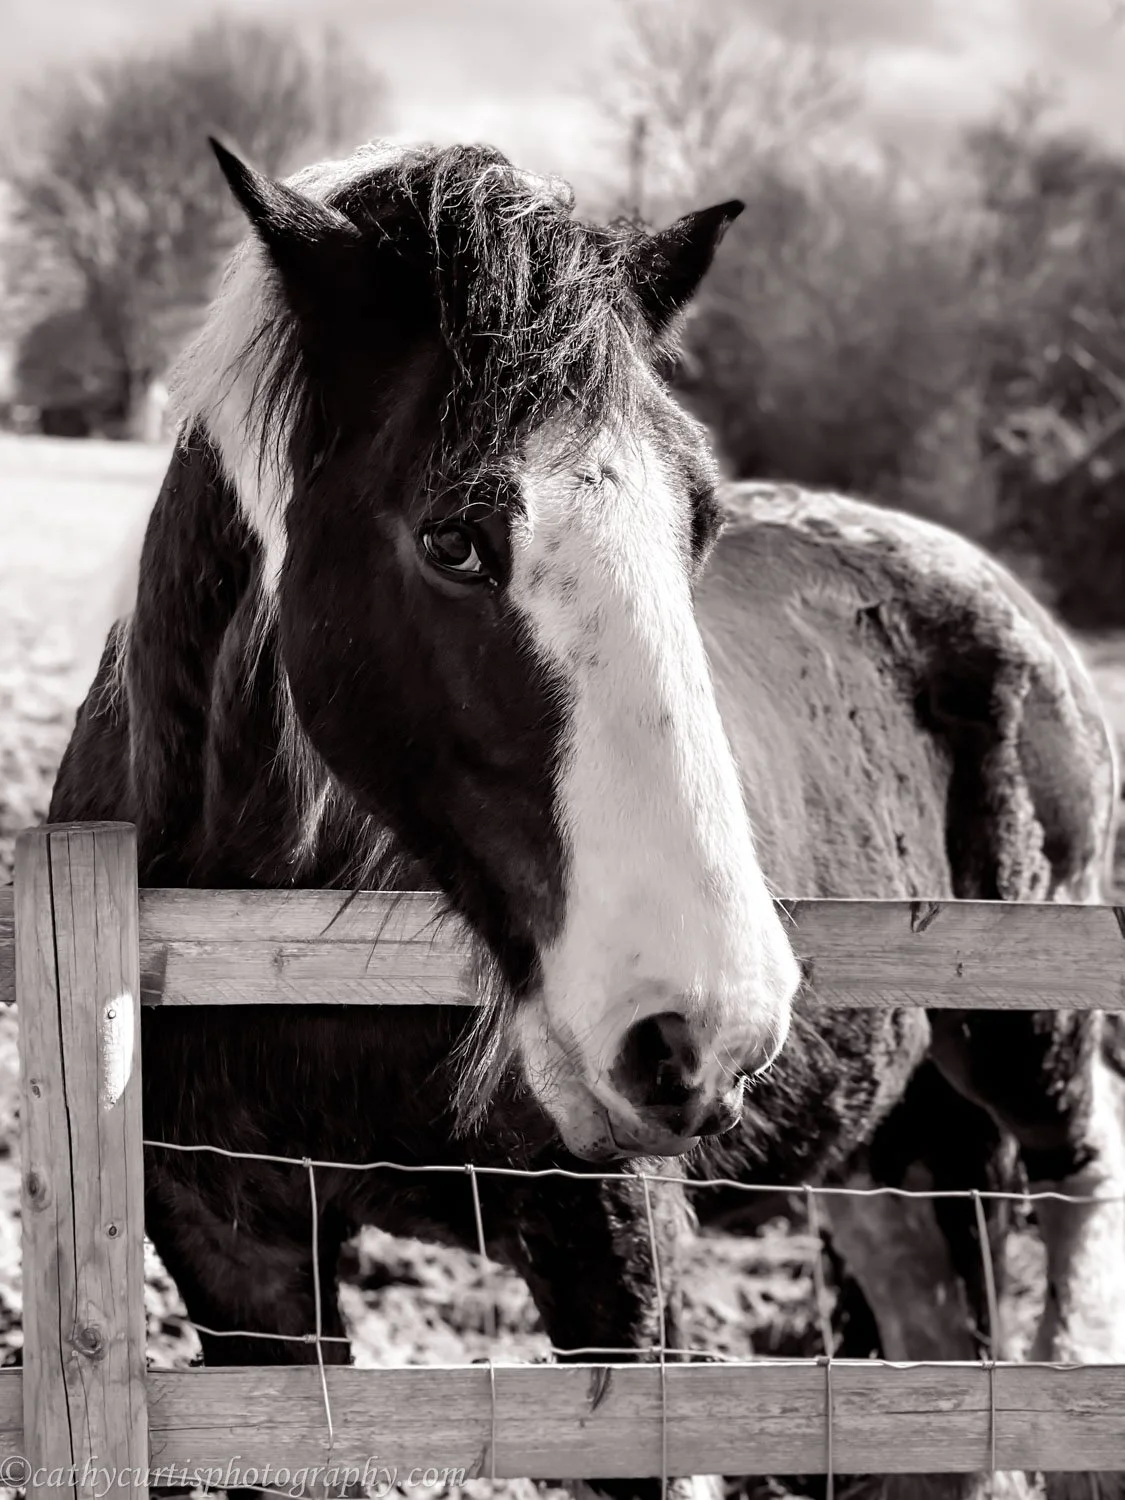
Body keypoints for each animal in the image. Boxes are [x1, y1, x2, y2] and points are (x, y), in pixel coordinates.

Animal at [48, 134, 1125, 1500]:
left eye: (699, 522)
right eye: (454, 537)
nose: (709, 1029)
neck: (272, 936)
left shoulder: (614, 1251)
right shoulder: (236, 1253)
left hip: (1030, 1029)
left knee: (1081, 1180)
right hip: (881, 1140)